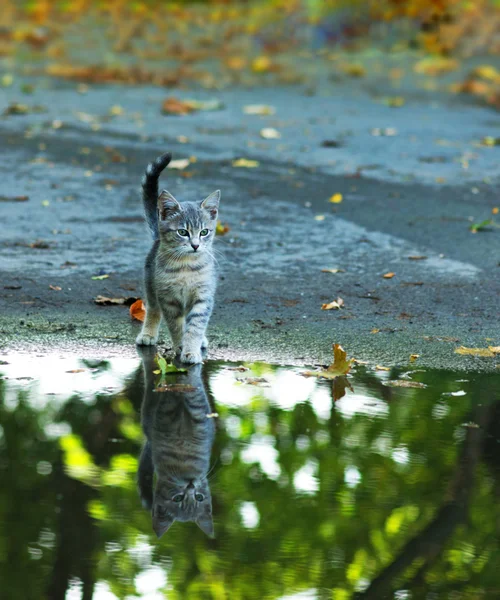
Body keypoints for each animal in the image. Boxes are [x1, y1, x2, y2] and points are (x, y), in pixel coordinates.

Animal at [137, 152, 223, 364]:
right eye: (183, 232)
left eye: (204, 232)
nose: (195, 245)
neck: (186, 267)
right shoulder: (168, 299)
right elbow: (176, 326)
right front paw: (181, 346)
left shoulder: (203, 296)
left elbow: (195, 326)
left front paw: (191, 350)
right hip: (150, 284)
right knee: (153, 309)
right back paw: (148, 334)